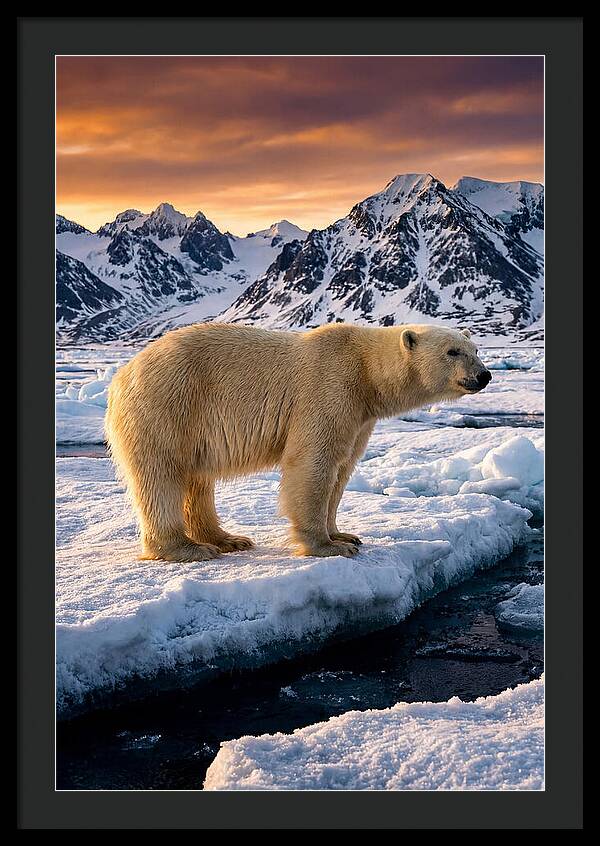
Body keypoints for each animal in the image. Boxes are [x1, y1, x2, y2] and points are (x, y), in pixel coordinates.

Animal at [105, 322, 491, 562]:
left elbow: (342, 469)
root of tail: (122, 374)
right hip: (169, 403)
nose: (484, 375)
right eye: (453, 351)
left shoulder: (359, 416)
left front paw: (344, 535)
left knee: (197, 480)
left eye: (475, 349)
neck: (366, 371)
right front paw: (327, 547)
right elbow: (313, 463)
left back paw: (227, 538)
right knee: (162, 474)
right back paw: (187, 548)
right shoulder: (329, 387)